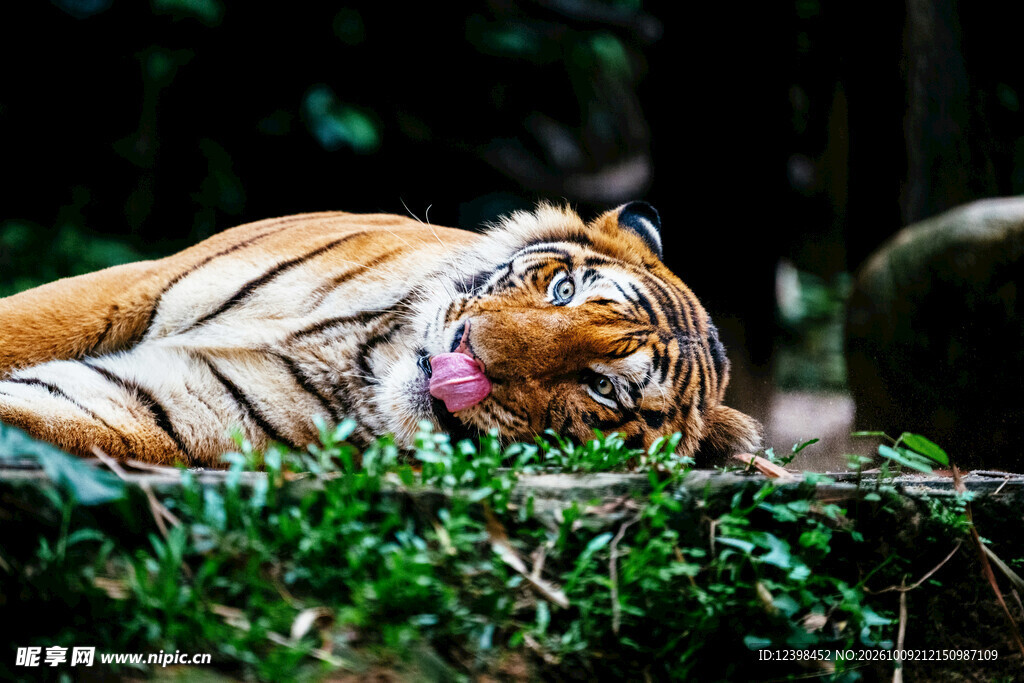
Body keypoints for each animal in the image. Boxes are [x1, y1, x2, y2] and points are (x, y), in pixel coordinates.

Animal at [0, 202, 761, 467]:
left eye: (601, 388)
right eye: (564, 291)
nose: (468, 351)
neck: (364, 356)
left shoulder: (155, 404)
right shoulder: (135, 283)